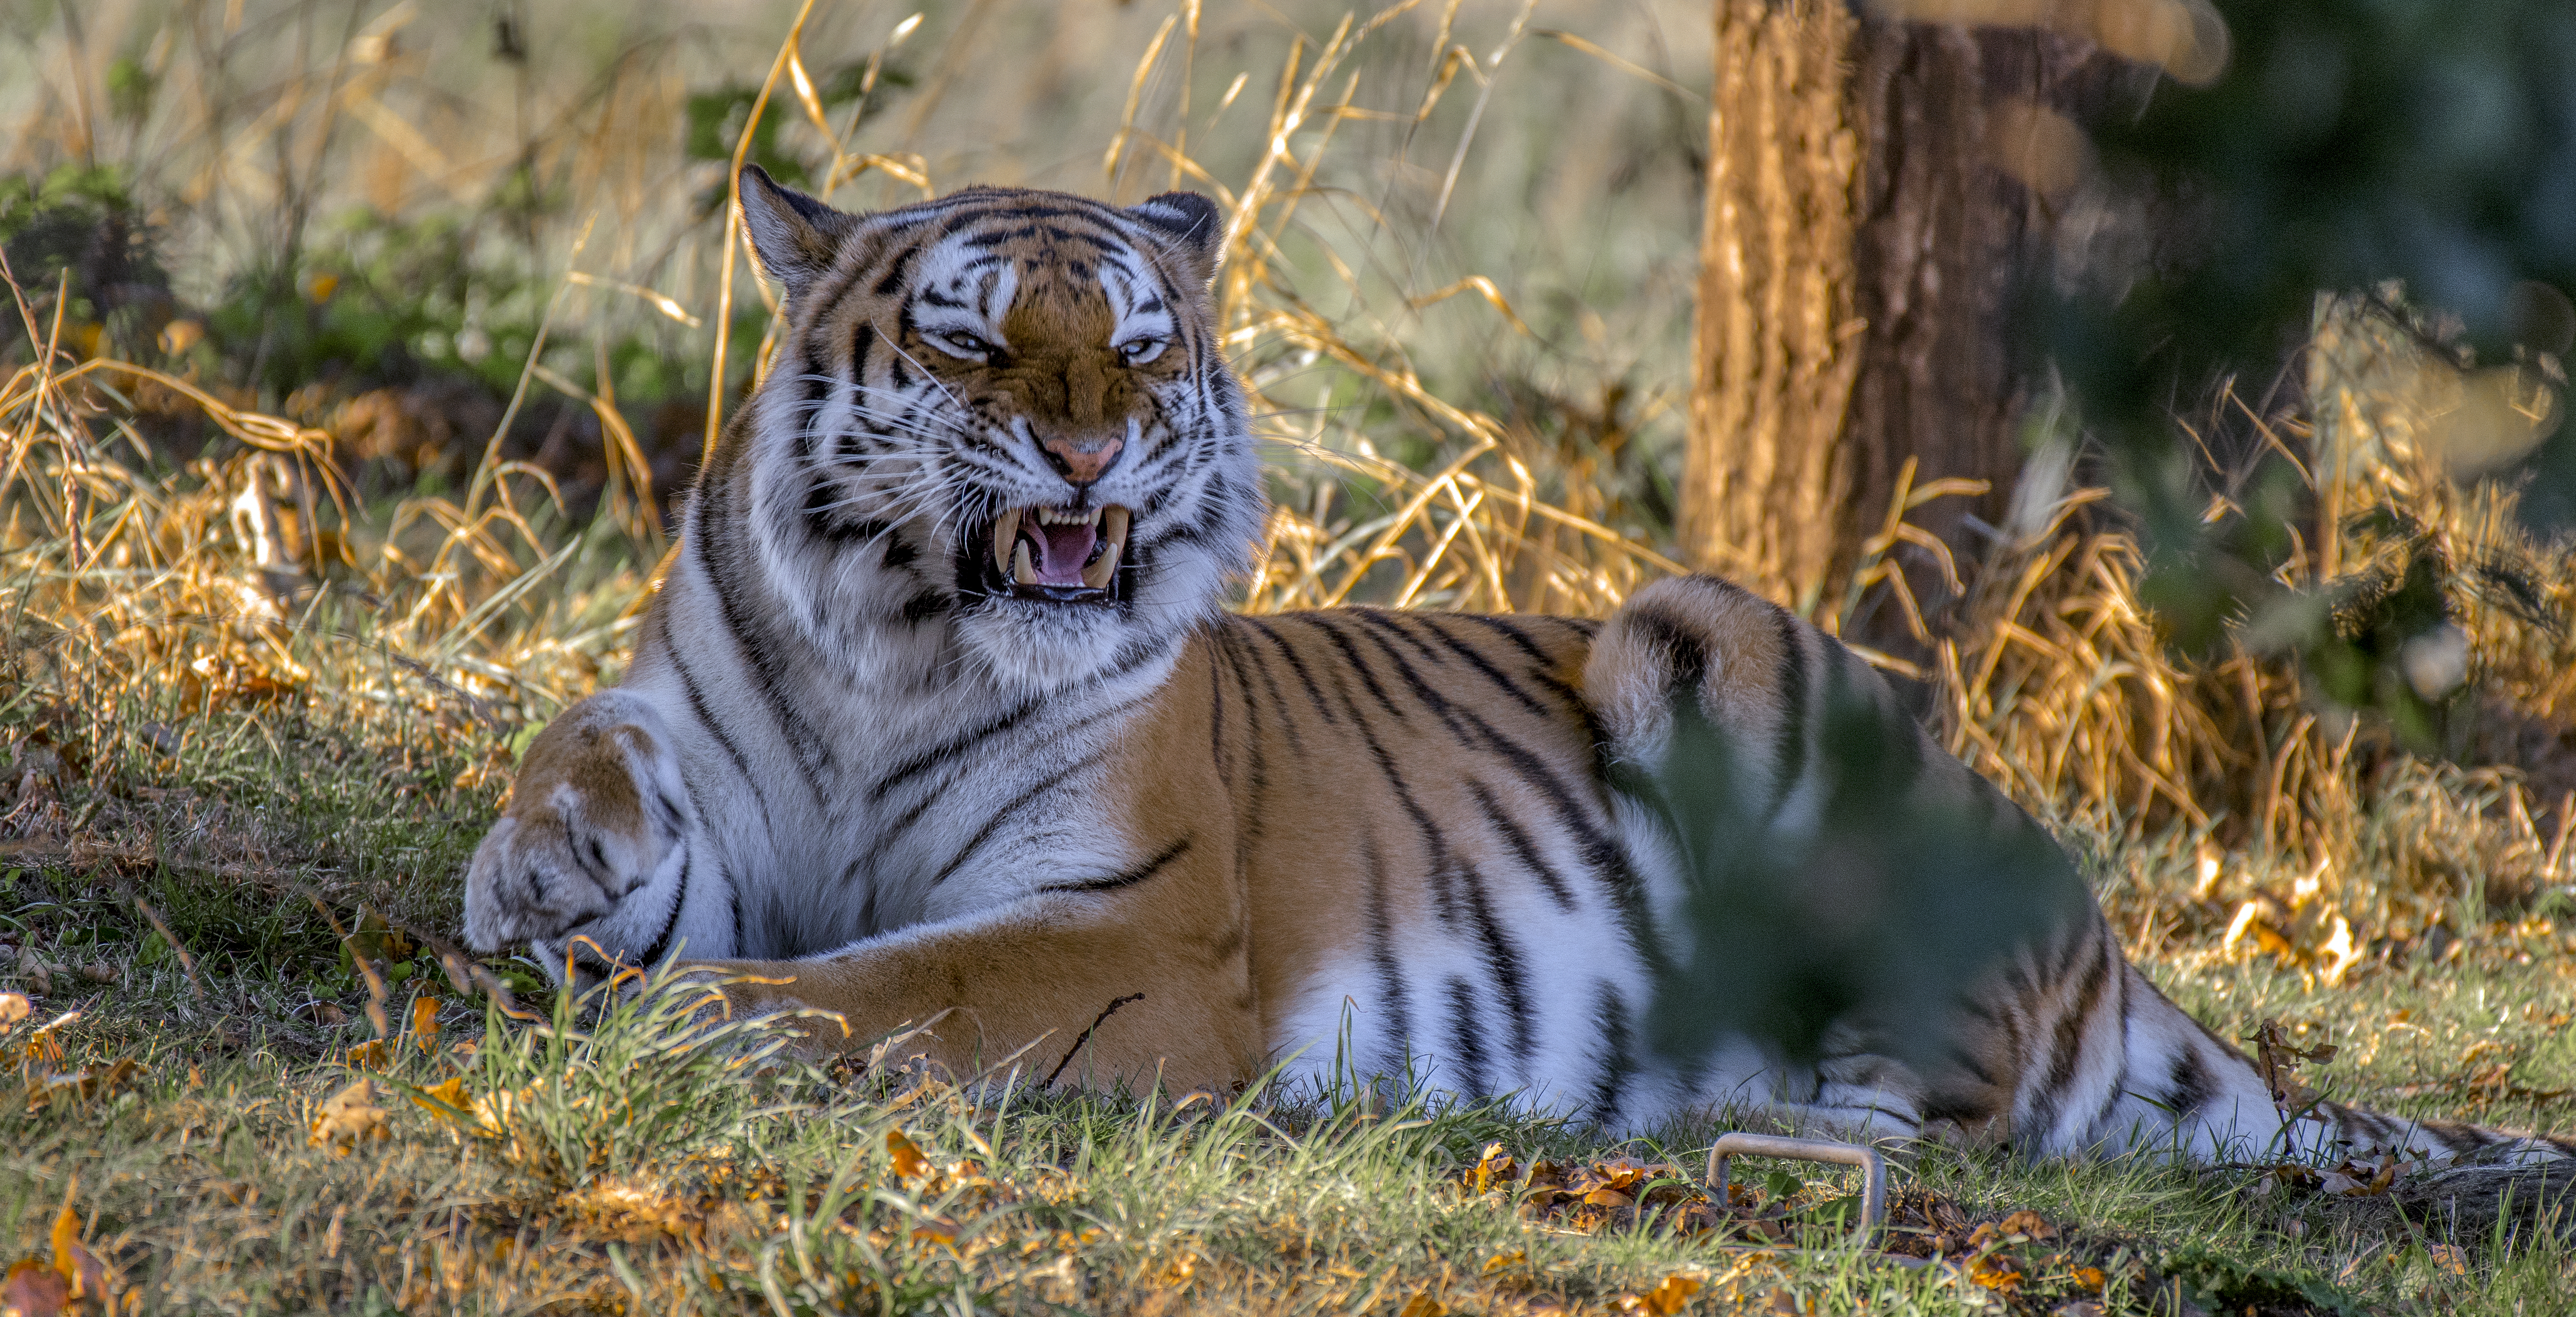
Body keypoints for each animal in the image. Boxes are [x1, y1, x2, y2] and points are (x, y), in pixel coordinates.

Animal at [469, 167, 2576, 1175]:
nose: (1085, 453)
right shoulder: (715, 727)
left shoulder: (1136, 931)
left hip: (1713, 635)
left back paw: (1755, 1118)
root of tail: (2115, 955)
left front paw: (700, 1021)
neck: (895, 647)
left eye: (1139, 352)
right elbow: (589, 739)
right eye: (979, 348)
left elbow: (899, 985)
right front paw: (540, 879)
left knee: (1957, 1103)